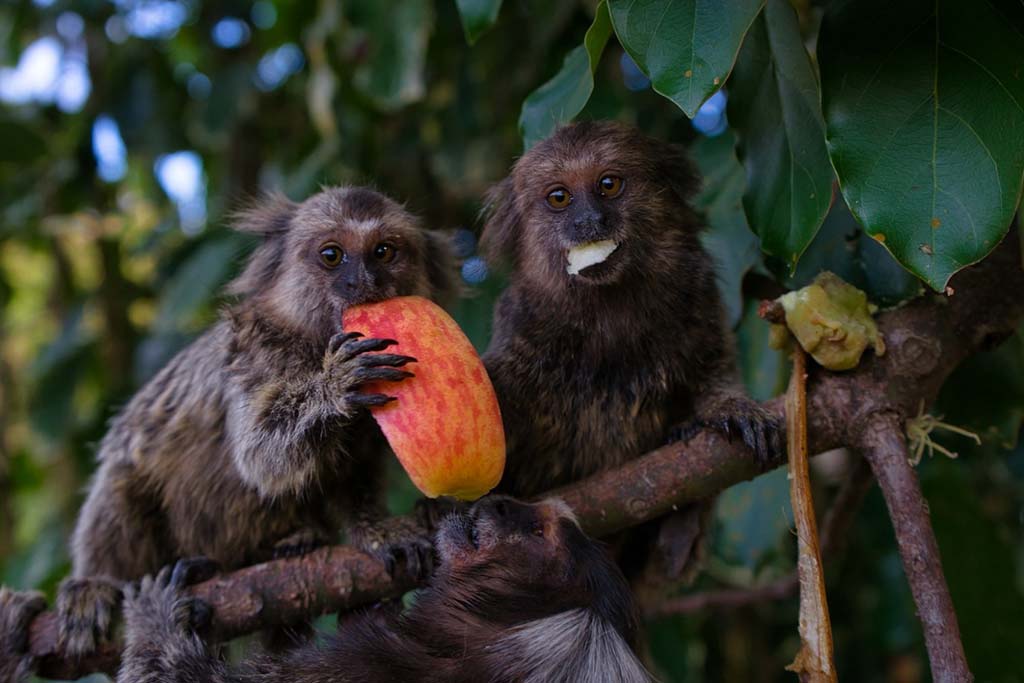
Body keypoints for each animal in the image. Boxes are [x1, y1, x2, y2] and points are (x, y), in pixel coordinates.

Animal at [52, 186, 461, 659]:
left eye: (384, 252)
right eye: (332, 255)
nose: (365, 281)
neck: (314, 343)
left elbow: (355, 472)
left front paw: (375, 530)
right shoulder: (257, 355)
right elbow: (260, 457)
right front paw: (335, 385)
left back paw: (298, 539)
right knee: (121, 483)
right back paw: (94, 585)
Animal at [481, 121, 783, 580]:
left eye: (608, 185)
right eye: (559, 198)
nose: (589, 220)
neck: (609, 309)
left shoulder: (698, 296)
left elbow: (715, 369)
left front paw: (729, 409)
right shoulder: (522, 325)